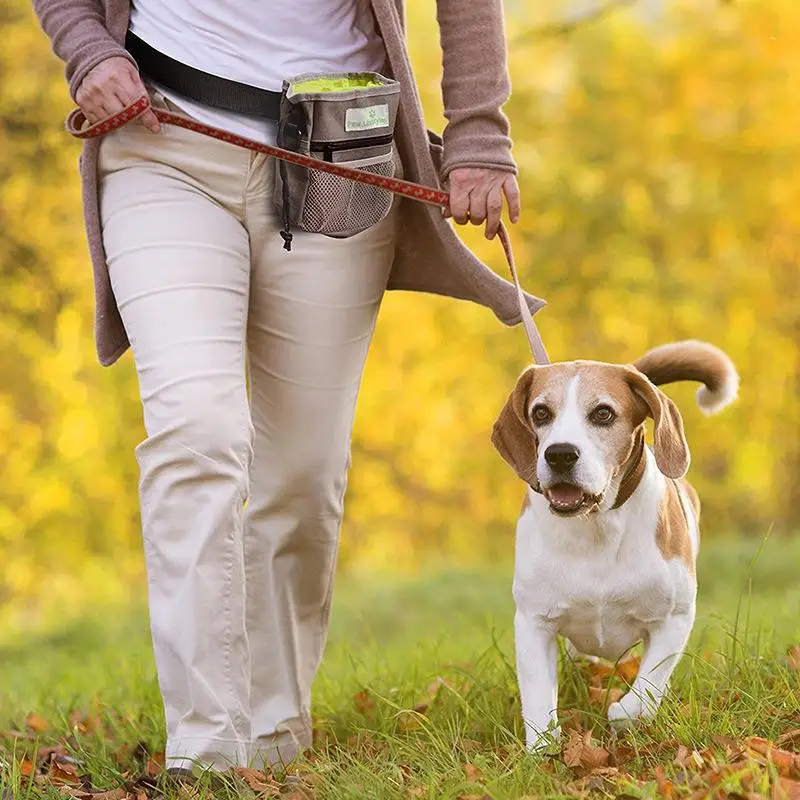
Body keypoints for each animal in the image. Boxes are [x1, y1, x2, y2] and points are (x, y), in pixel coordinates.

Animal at [490, 340, 740, 748]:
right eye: (540, 412)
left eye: (603, 413)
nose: (559, 454)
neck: (596, 526)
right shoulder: (533, 622)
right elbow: (539, 698)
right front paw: (542, 749)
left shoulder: (674, 619)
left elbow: (647, 688)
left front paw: (623, 713)